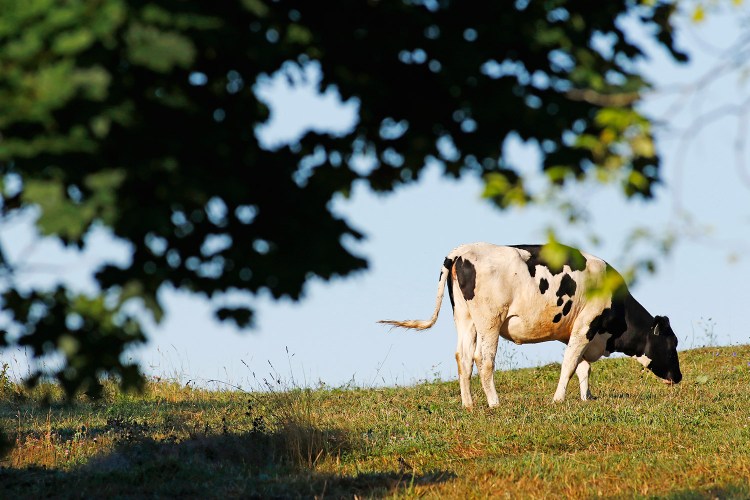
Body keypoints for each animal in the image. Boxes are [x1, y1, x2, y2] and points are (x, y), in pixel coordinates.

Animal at [378, 242, 682, 408]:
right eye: (672, 344)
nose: (679, 377)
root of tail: (461, 251)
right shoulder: (585, 325)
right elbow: (570, 364)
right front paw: (558, 399)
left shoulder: (577, 331)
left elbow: (583, 367)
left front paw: (587, 398)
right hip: (490, 320)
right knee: (483, 360)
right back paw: (494, 403)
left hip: (464, 318)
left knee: (463, 358)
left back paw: (468, 404)